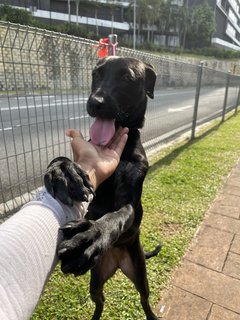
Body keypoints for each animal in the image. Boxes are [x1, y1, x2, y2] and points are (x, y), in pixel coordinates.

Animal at [45, 56, 161, 318]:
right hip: (95, 282)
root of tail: (116, 260)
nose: (95, 103)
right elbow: (67, 161)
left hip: (140, 275)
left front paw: (91, 235)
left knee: (145, 300)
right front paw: (63, 170)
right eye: (95, 74)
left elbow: (116, 216)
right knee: (100, 303)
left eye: (127, 77)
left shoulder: (130, 204)